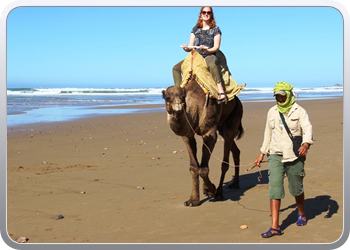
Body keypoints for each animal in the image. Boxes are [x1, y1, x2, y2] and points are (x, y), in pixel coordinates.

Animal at [162, 74, 242, 207]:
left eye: (183, 97)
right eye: (168, 97)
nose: (178, 106)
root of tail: (238, 101)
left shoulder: (209, 133)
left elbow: (204, 169)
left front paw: (211, 189)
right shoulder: (187, 135)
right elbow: (194, 167)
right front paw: (193, 200)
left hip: (235, 116)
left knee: (225, 157)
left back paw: (219, 192)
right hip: (221, 126)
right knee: (235, 150)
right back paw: (235, 184)